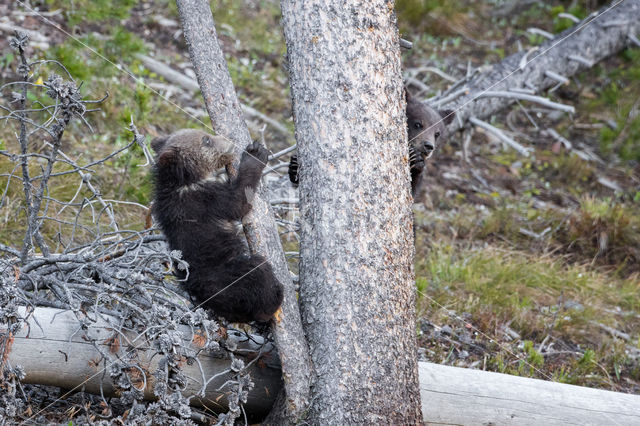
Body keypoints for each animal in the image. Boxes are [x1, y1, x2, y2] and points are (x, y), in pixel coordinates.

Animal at [152, 130, 282, 322]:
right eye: (206, 140)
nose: (228, 141)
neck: (186, 180)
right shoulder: (205, 200)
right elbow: (238, 201)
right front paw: (255, 153)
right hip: (227, 275)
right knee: (258, 272)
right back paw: (274, 299)